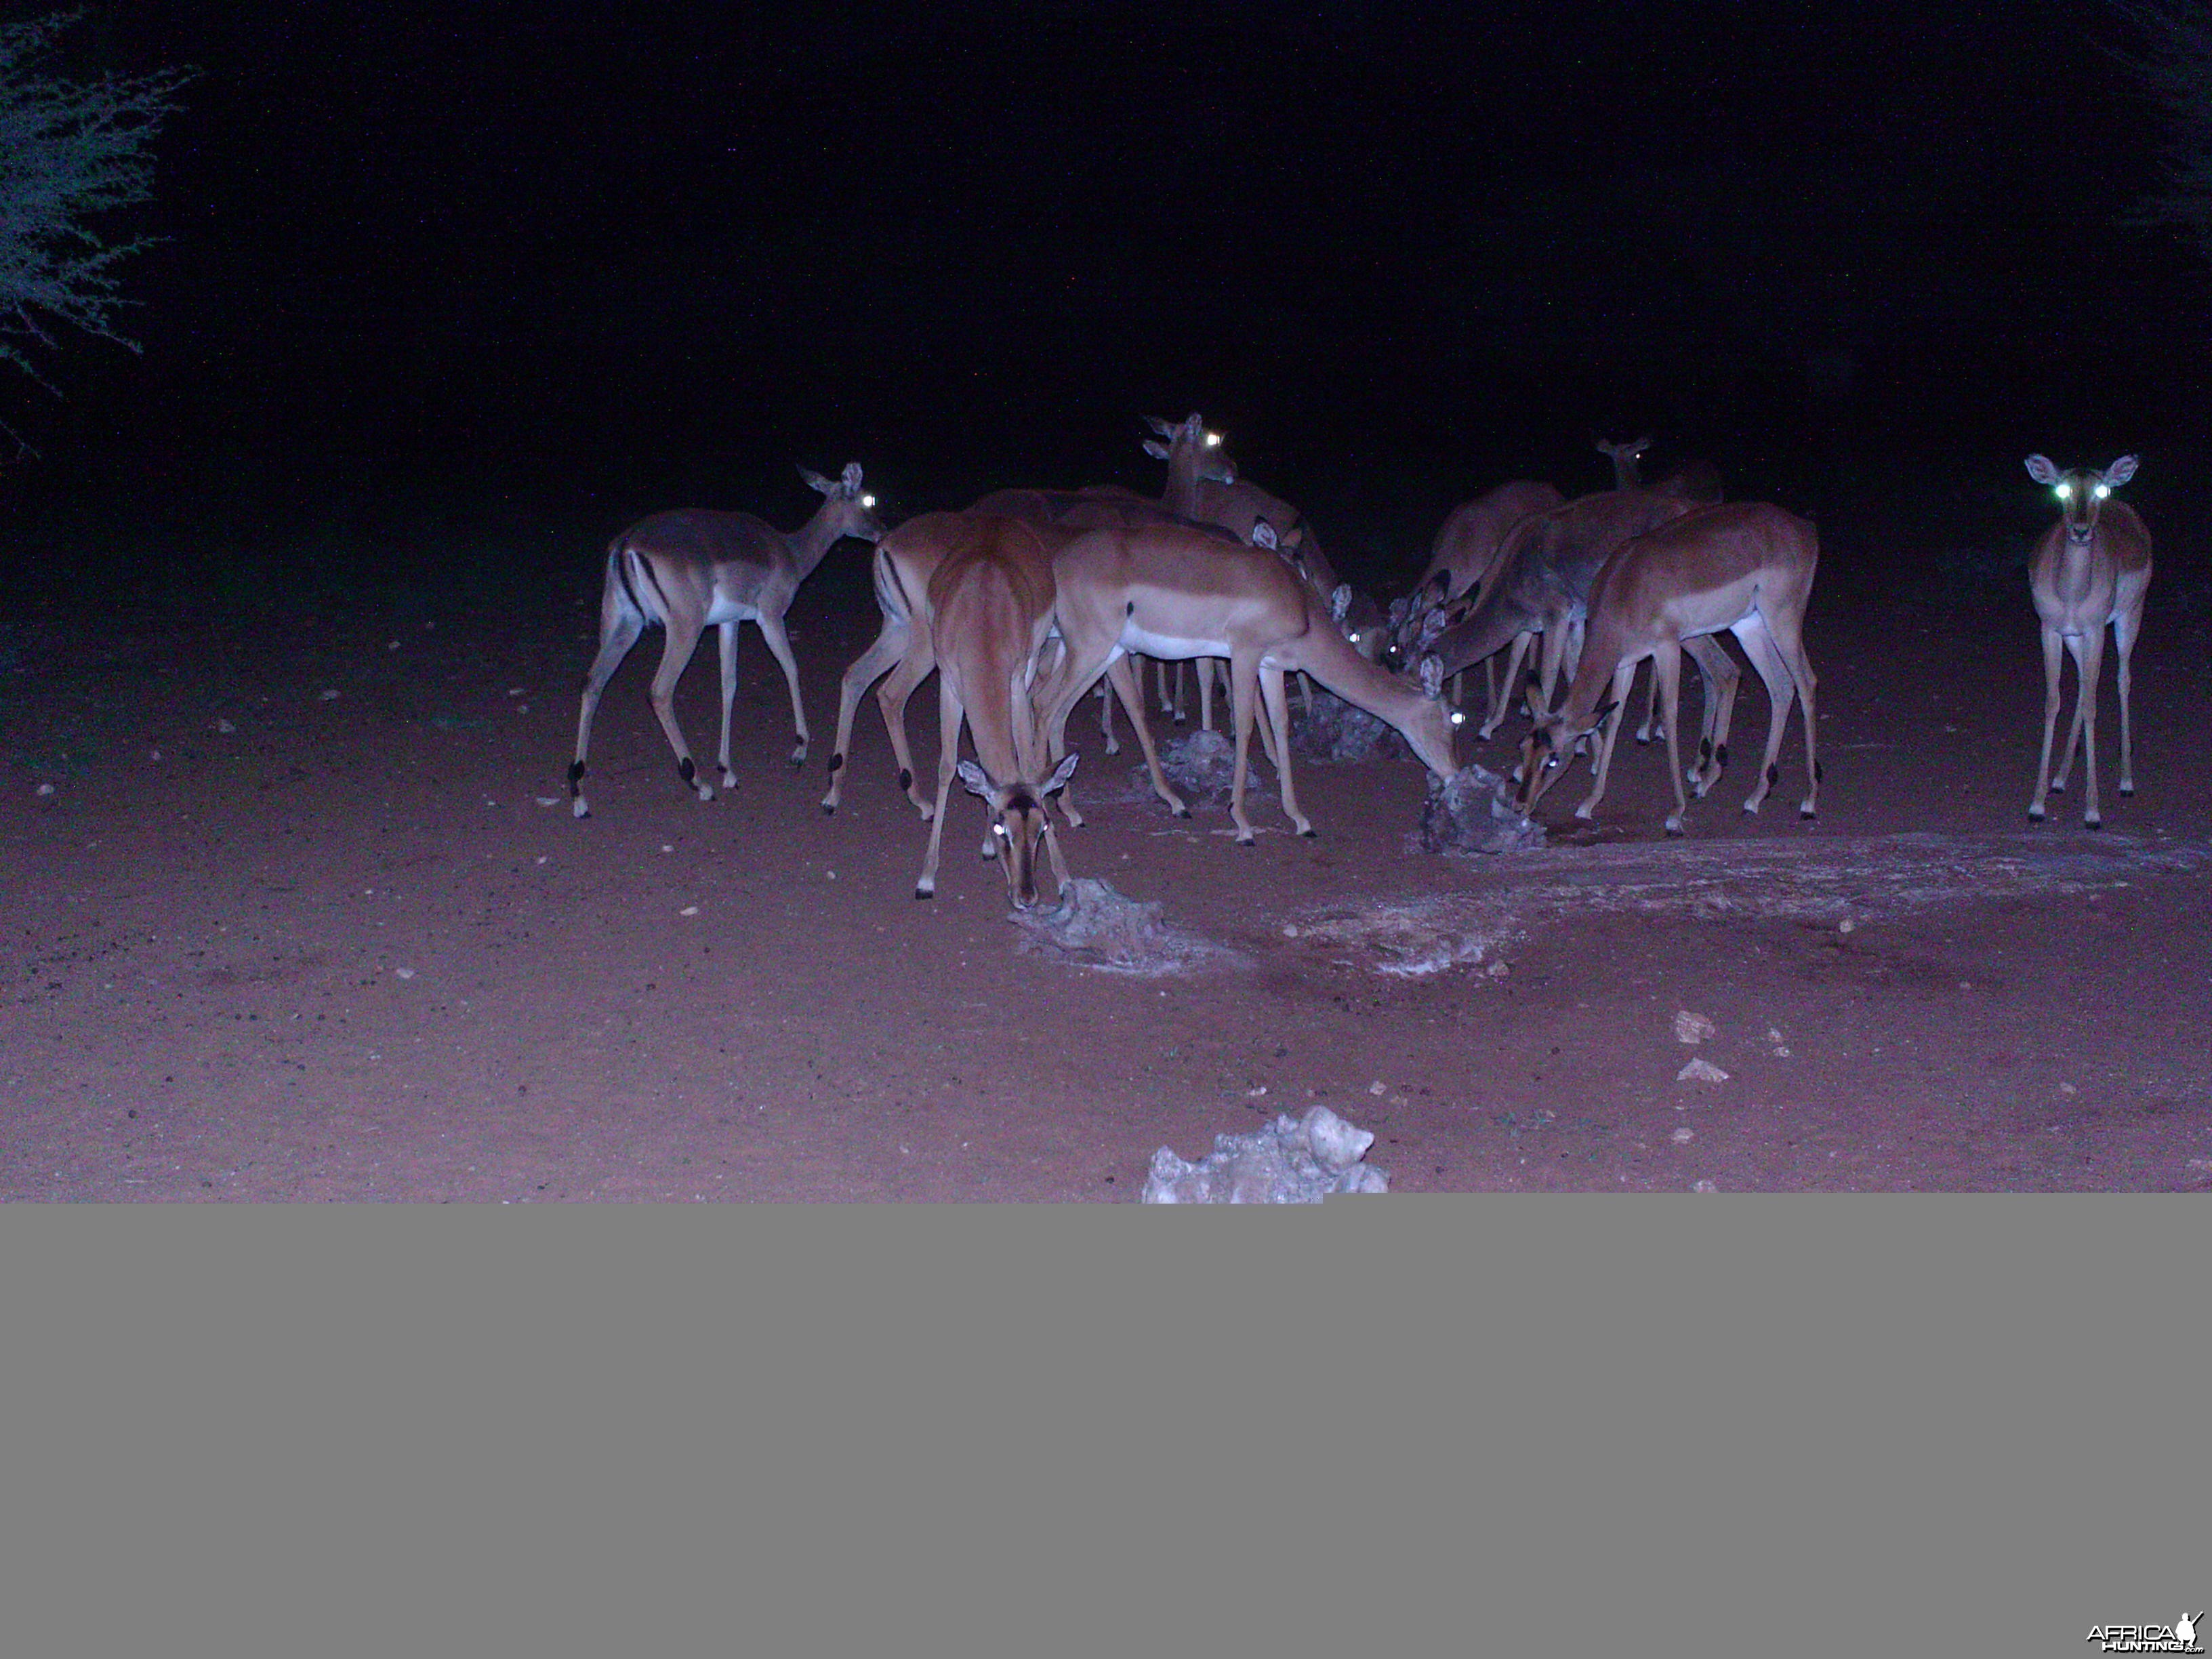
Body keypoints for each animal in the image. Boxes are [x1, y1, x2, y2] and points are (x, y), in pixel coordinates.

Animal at [571, 464, 880, 814]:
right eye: (867, 499)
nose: (881, 531)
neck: (791, 552)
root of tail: (627, 543)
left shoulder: (729, 623)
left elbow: (729, 684)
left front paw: (728, 769)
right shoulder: (771, 617)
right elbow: (791, 668)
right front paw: (800, 749)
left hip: (622, 626)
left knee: (592, 683)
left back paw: (579, 795)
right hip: (684, 630)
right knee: (659, 691)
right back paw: (699, 783)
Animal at [2026, 457, 2150, 827]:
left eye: (2101, 489)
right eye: (2061, 489)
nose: (2081, 530)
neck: (2071, 593)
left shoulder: (2096, 630)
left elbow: (2095, 706)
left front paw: (2093, 811)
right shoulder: (2052, 630)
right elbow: (2054, 701)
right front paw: (2037, 804)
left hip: (2128, 618)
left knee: (2122, 679)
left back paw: (2126, 782)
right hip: (2075, 639)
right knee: (2084, 685)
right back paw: (2060, 778)